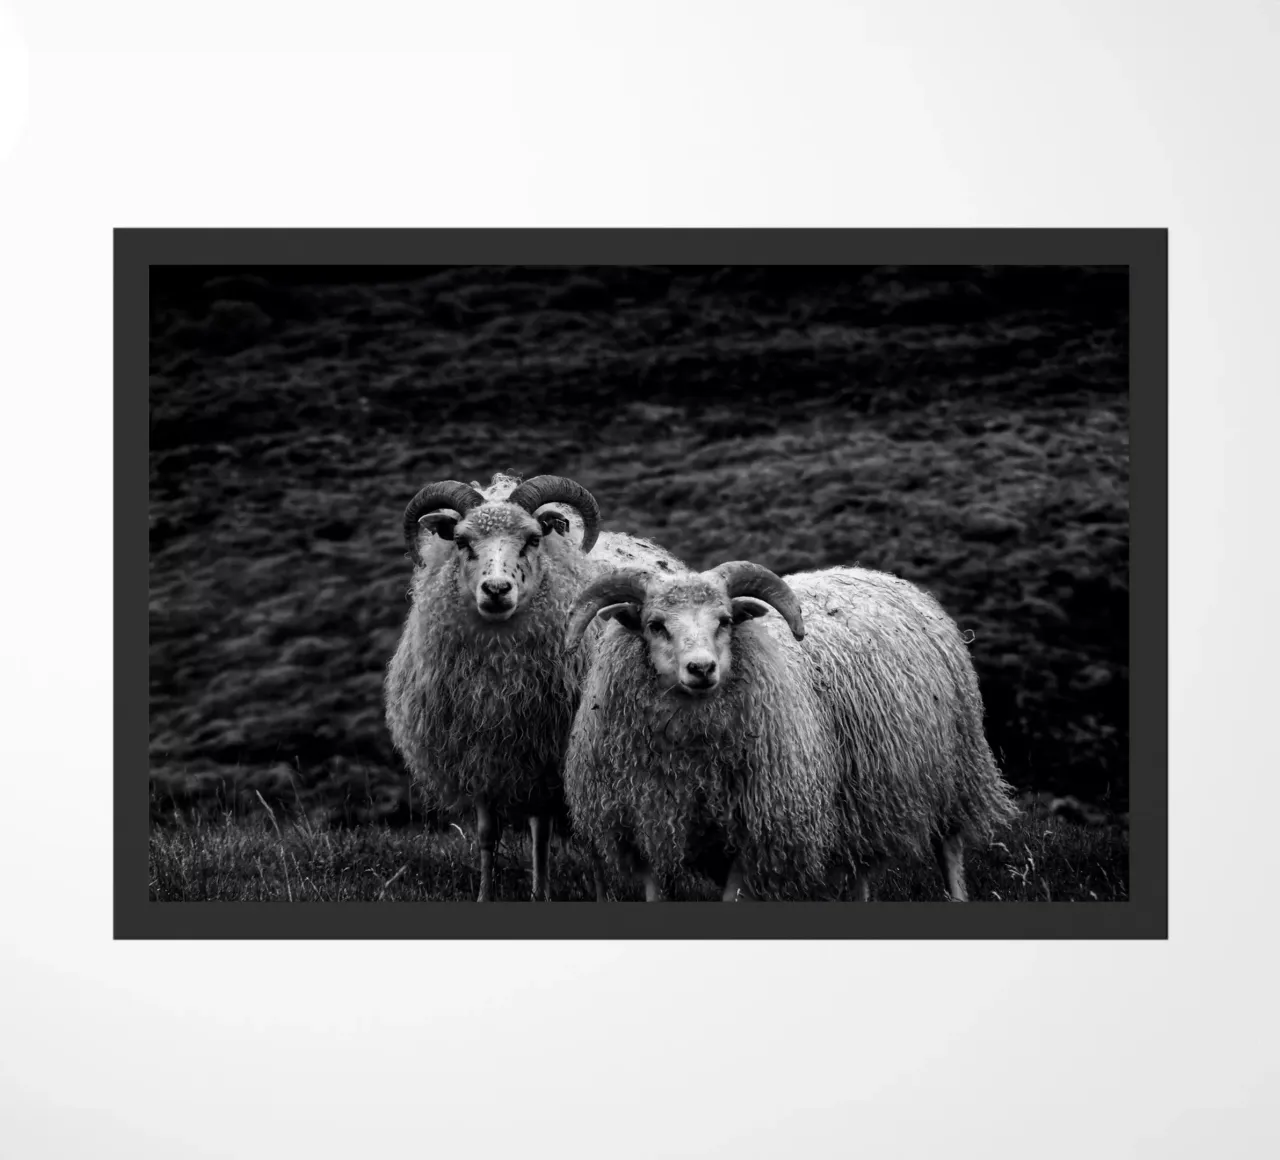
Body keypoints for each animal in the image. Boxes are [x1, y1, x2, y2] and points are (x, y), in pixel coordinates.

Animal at [384, 470, 683, 902]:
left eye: (532, 539)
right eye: (461, 541)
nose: (496, 590)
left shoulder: (558, 752)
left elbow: (574, 837)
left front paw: (585, 895)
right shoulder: (482, 756)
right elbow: (487, 835)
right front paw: (485, 895)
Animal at [562, 560, 1019, 902]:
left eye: (725, 621)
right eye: (655, 624)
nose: (702, 669)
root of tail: (887, 577)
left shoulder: (756, 830)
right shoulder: (646, 825)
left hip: (955, 768)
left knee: (950, 847)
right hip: (863, 793)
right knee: (861, 866)